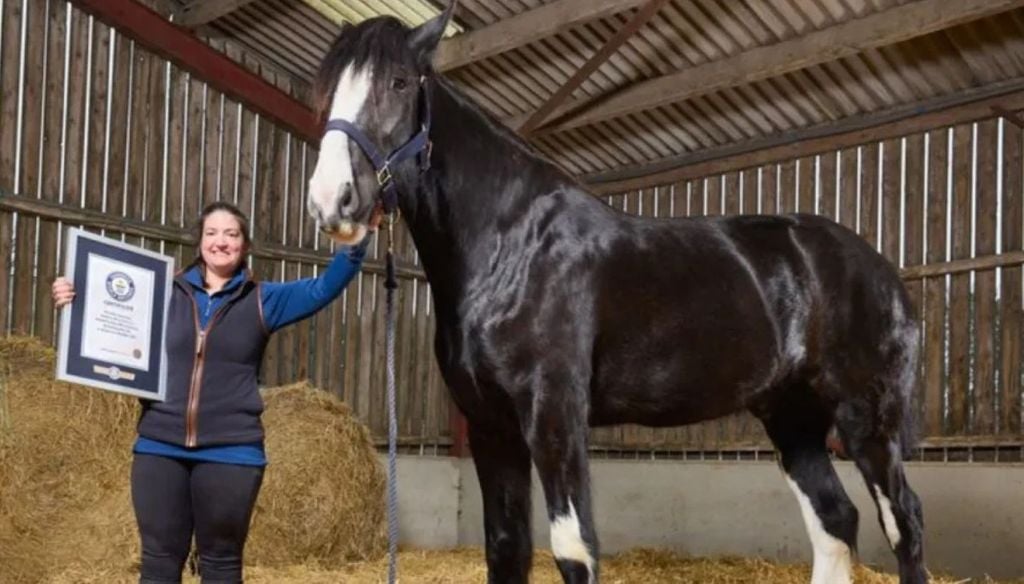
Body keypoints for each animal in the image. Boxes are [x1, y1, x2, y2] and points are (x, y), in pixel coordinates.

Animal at [304, 5, 927, 583]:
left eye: (399, 82)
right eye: (328, 89)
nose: (333, 200)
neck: (511, 244)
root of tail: (879, 269)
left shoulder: (555, 414)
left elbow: (574, 549)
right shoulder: (489, 425)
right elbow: (505, 549)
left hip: (868, 421)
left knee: (904, 521)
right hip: (792, 417)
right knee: (835, 518)